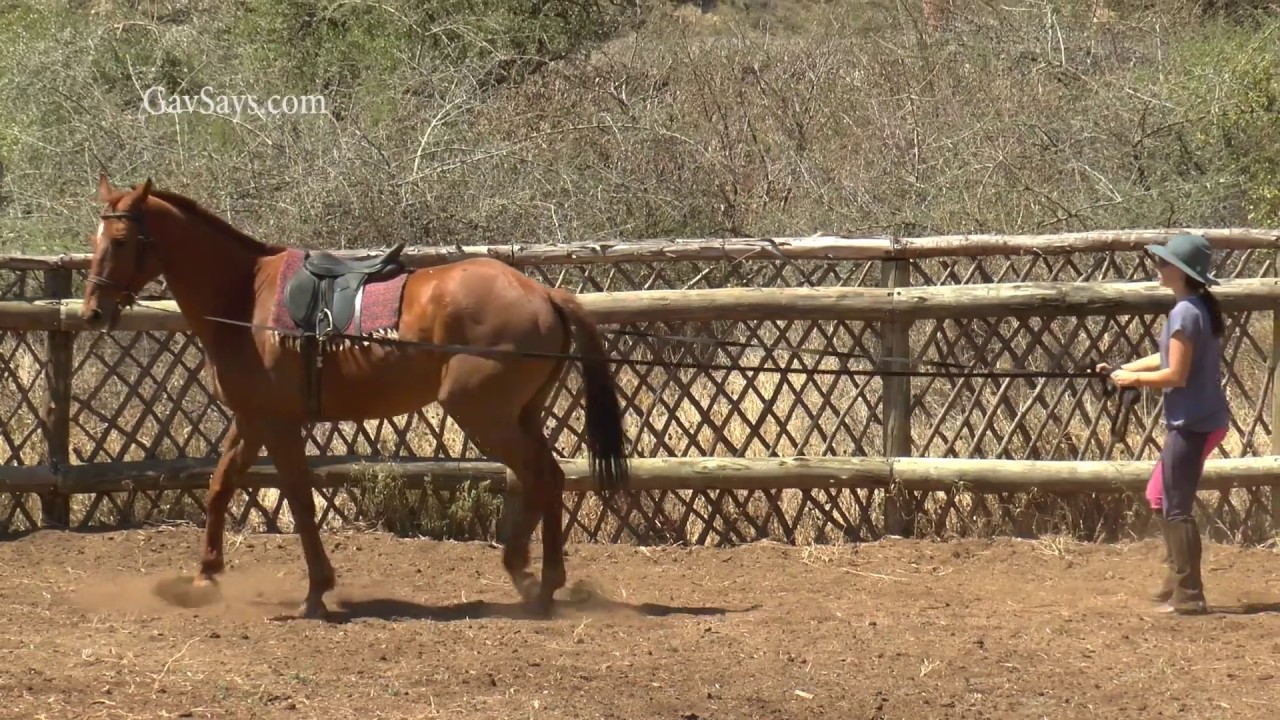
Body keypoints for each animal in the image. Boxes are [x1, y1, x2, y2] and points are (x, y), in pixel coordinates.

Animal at [80, 173, 630, 619]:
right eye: (95, 238)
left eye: (123, 240)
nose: (92, 312)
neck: (244, 297)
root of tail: (543, 294)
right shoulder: (253, 419)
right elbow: (220, 486)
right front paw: (203, 577)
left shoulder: (277, 424)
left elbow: (300, 499)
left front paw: (316, 590)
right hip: (520, 415)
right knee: (548, 478)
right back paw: (538, 579)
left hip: (483, 415)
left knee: (541, 476)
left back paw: (532, 578)